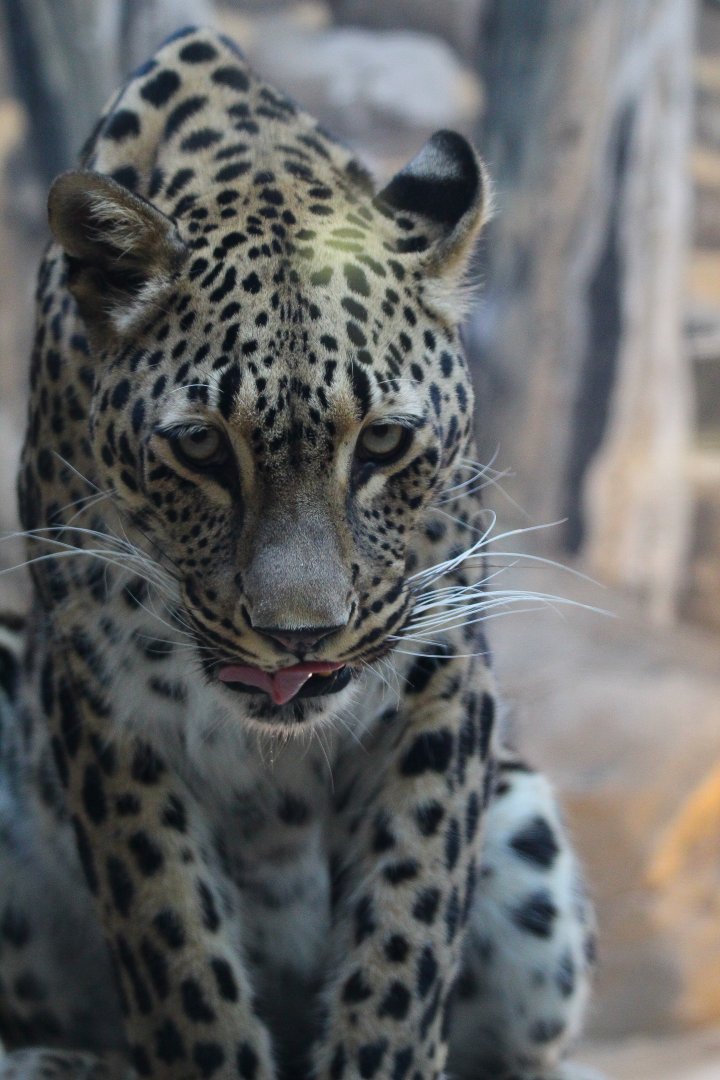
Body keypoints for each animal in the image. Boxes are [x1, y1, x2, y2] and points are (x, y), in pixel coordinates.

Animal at [0, 26, 597, 1080]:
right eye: (201, 449)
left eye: (386, 443)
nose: (301, 640)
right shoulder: (100, 699)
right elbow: (175, 949)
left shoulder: (441, 671)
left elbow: (406, 933)